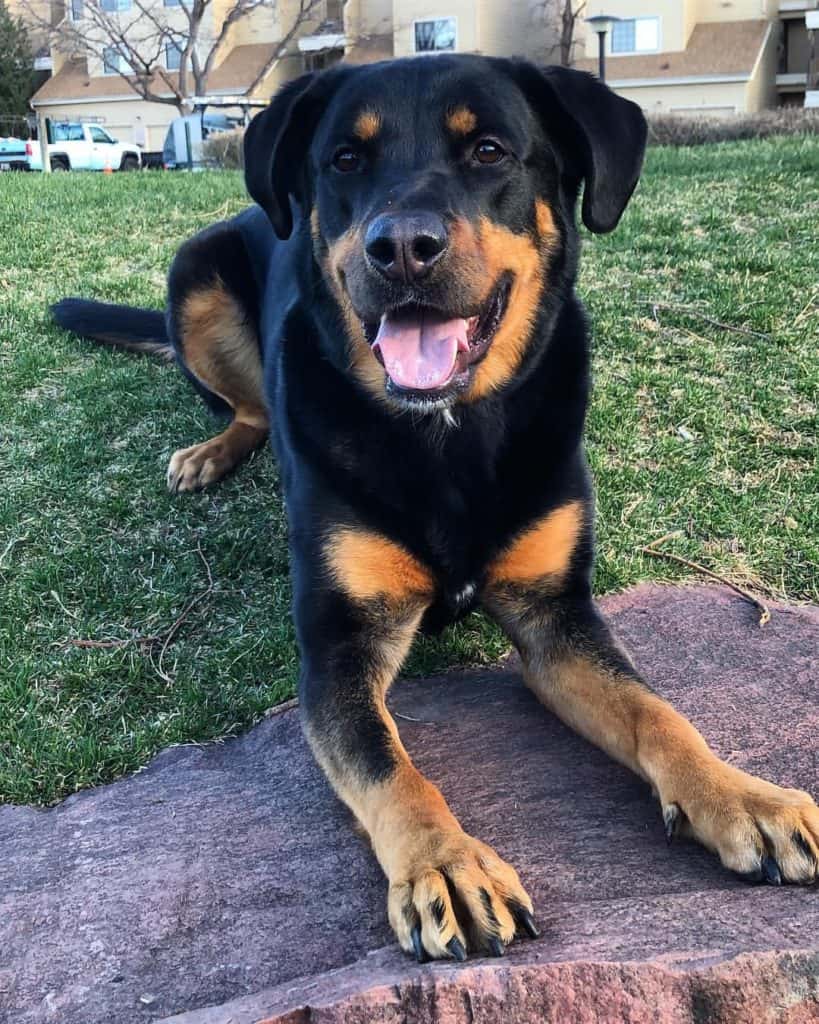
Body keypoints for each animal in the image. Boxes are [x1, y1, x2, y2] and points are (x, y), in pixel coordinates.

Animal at [54, 59, 814, 962]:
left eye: (488, 150)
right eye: (346, 160)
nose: (402, 248)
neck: (447, 433)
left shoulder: (558, 619)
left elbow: (656, 712)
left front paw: (741, 796)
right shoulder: (340, 646)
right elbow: (390, 765)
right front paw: (445, 864)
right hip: (195, 271)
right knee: (249, 410)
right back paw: (211, 452)